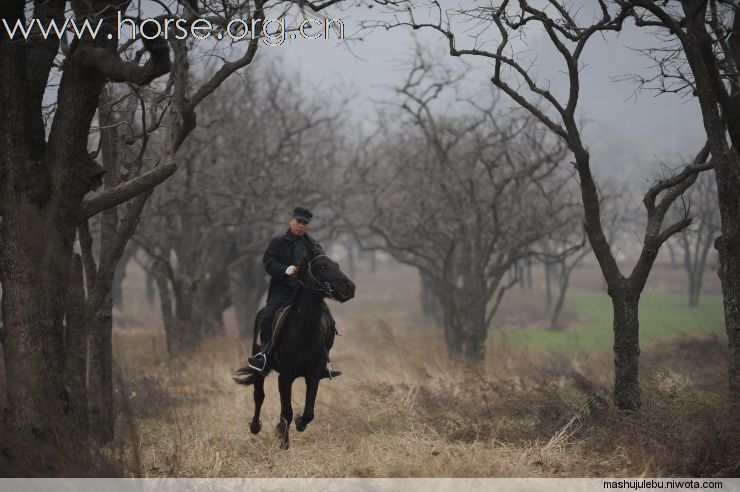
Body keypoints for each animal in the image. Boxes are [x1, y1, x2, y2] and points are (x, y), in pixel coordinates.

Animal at [234, 246, 356, 450]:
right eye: (322, 266)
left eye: (337, 265)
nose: (350, 288)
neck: (303, 330)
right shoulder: (285, 377)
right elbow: (287, 411)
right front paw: (284, 443)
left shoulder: (313, 375)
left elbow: (309, 411)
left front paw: (298, 424)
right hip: (259, 366)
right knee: (259, 395)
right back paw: (255, 426)